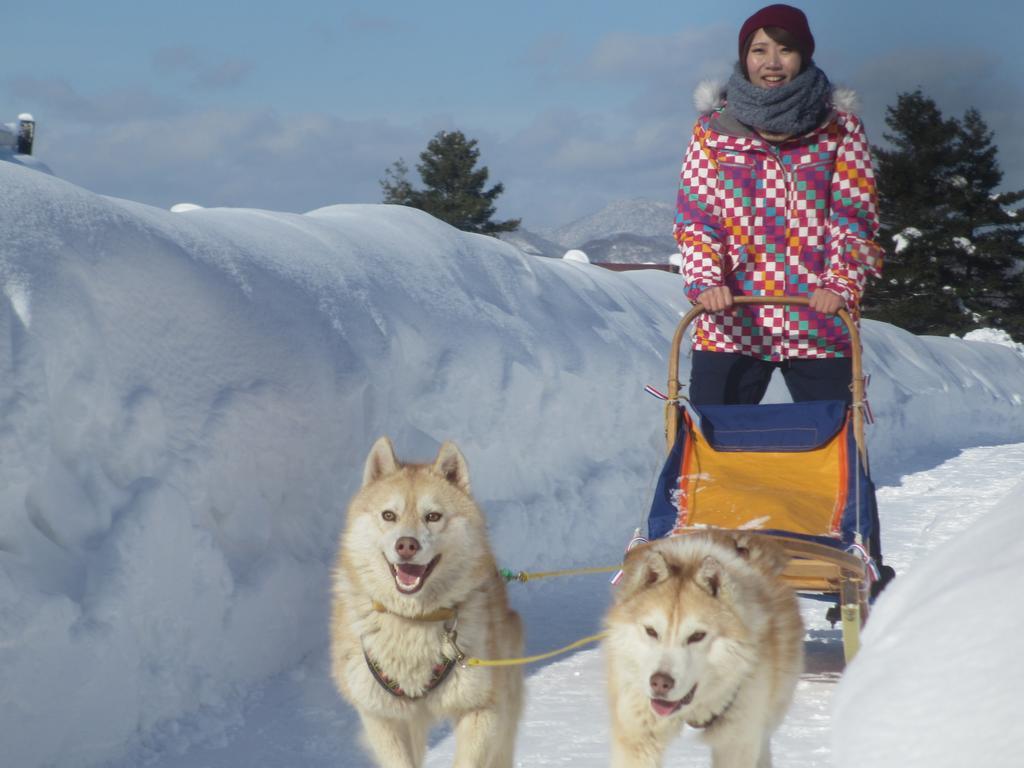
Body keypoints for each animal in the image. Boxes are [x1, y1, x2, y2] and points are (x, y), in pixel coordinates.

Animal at [331, 438, 524, 768]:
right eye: (388, 515)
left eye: (433, 516)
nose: (406, 545)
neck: (412, 621)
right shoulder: (382, 717)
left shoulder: (481, 708)